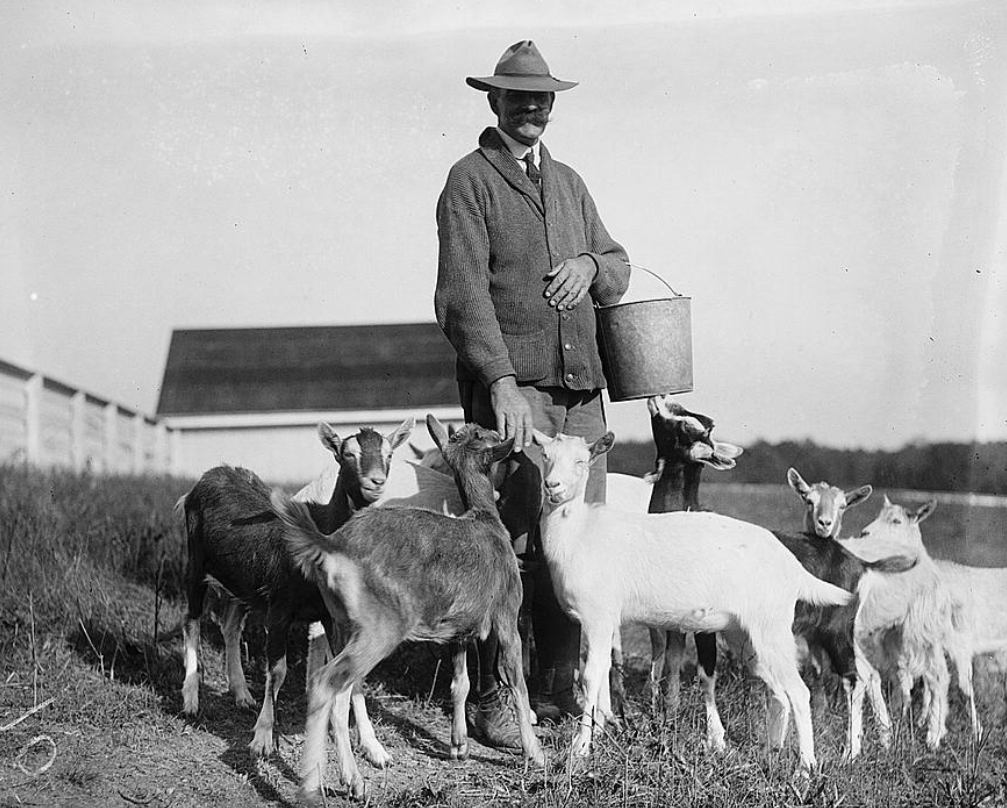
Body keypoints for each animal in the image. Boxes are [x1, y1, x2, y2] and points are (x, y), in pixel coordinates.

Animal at [269, 415, 543, 797]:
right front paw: (535, 752)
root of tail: (332, 544)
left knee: (339, 691)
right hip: (379, 629)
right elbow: (518, 682)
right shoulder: (506, 617)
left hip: (340, 624)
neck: (484, 520)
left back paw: (350, 778)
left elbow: (460, 682)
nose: (496, 428)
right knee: (328, 682)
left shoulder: (457, 629)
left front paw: (459, 745)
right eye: (487, 435)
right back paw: (320, 783)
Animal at [531, 427, 853, 769]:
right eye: (545, 455)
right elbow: (603, 672)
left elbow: (591, 677)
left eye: (582, 461)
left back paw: (805, 767)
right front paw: (602, 729)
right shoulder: (601, 621)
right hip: (744, 634)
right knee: (779, 690)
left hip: (772, 627)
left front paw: (580, 748)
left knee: (799, 692)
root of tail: (791, 565)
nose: (552, 486)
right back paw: (772, 752)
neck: (580, 533)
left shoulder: (599, 615)